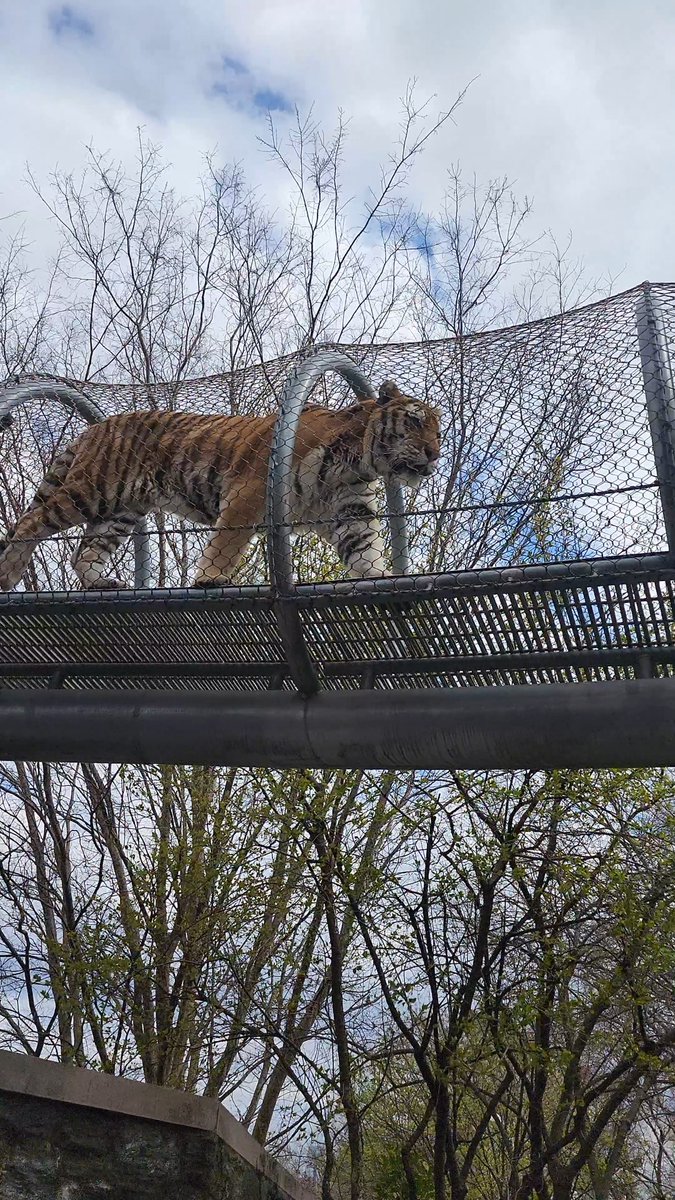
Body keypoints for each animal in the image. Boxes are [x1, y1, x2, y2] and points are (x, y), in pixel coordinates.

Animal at [0, 379, 441, 591]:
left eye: (439, 431)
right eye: (416, 421)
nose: (435, 454)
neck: (357, 463)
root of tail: (95, 427)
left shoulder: (351, 511)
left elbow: (365, 552)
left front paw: (380, 578)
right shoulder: (250, 491)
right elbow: (228, 542)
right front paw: (210, 578)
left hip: (119, 513)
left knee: (84, 552)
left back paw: (101, 582)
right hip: (92, 490)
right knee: (31, 523)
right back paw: (8, 575)